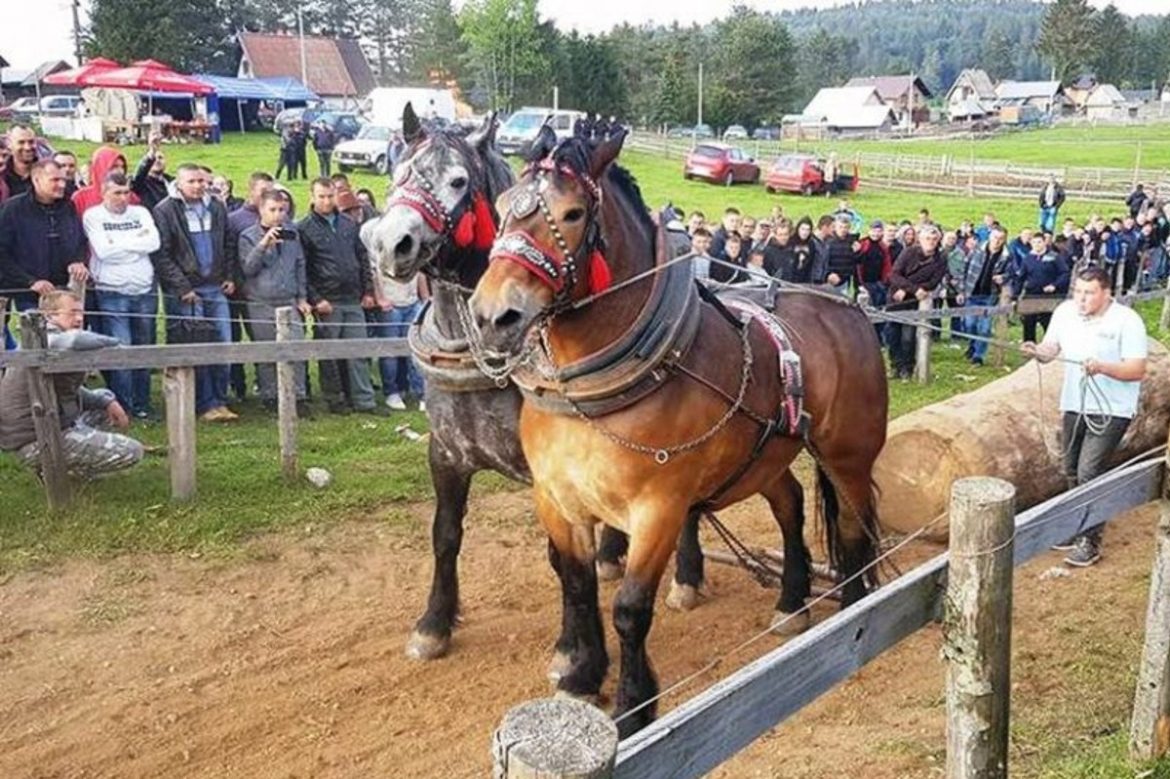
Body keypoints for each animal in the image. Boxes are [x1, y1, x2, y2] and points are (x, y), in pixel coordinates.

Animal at [465, 128, 884, 734]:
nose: (493, 315)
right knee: (791, 505)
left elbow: (630, 608)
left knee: (854, 526)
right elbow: (577, 583)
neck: (593, 394)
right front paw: (581, 676)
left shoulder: (658, 508)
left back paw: (852, 606)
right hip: (765, 456)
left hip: (847, 454)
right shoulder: (557, 499)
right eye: (499, 209)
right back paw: (791, 601)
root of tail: (850, 311)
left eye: (571, 213)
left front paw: (634, 704)